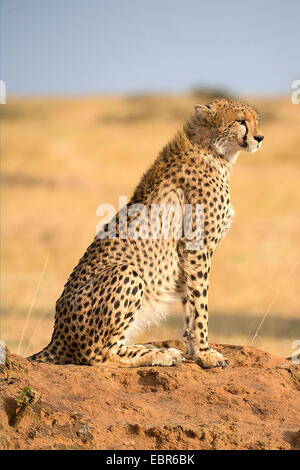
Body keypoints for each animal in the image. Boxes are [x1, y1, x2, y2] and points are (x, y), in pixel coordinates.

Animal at [27, 99, 262, 370]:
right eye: (240, 120)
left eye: (257, 120)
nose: (259, 137)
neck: (213, 150)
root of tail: (56, 336)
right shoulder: (197, 247)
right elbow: (199, 305)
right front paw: (206, 354)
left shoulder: (187, 255)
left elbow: (189, 306)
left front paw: (195, 350)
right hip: (127, 273)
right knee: (99, 355)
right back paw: (161, 354)